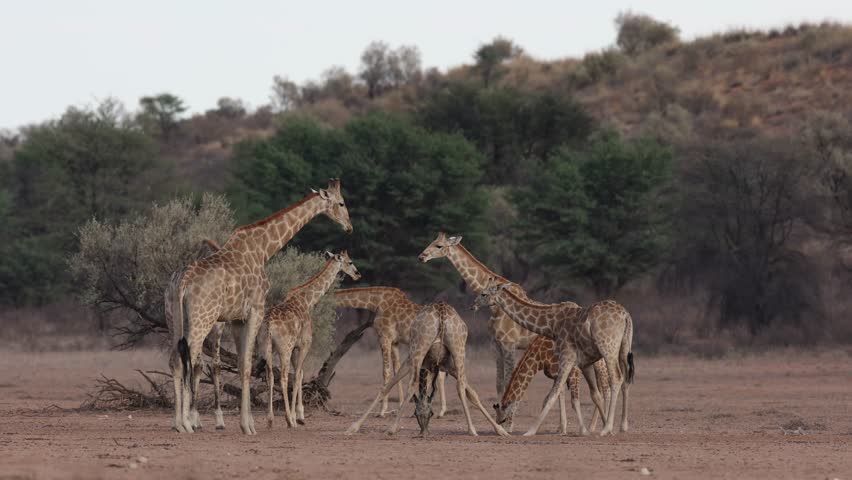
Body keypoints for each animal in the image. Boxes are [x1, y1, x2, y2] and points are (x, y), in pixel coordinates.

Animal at [262, 251, 360, 428]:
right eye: (350, 262)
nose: (358, 274)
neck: (308, 301)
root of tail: (270, 325)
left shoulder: (295, 348)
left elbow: (299, 373)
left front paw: (299, 415)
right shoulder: (304, 344)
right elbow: (298, 375)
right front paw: (297, 417)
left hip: (267, 347)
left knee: (270, 376)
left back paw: (270, 419)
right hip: (284, 348)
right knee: (283, 377)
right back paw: (288, 420)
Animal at [333, 287, 447, 418]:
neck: (376, 302)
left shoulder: (385, 337)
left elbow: (386, 372)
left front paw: (382, 410)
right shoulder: (394, 342)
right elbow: (397, 370)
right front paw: (399, 406)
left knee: (439, 374)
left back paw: (439, 410)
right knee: (440, 373)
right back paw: (437, 409)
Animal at [345, 302, 509, 437]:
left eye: (430, 414)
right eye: (418, 413)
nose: (423, 433)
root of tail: (442, 311)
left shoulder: (412, 360)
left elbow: (387, 387)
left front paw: (354, 427)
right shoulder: (447, 365)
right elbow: (472, 393)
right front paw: (500, 430)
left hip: (418, 348)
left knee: (412, 385)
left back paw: (391, 428)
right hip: (459, 350)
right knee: (460, 385)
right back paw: (472, 429)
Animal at [418, 232, 543, 431]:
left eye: (438, 246)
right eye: (431, 241)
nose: (421, 256)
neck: (494, 307)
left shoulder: (509, 344)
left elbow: (509, 380)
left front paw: (508, 424)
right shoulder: (496, 345)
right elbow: (499, 383)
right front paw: (500, 420)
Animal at [474, 278, 634, 436]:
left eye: (483, 294)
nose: (473, 306)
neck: (552, 324)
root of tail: (625, 315)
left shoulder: (568, 357)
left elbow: (554, 395)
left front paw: (531, 431)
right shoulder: (582, 362)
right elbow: (590, 395)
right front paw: (581, 429)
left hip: (607, 348)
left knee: (615, 379)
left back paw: (606, 428)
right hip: (623, 347)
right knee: (625, 379)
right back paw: (622, 426)